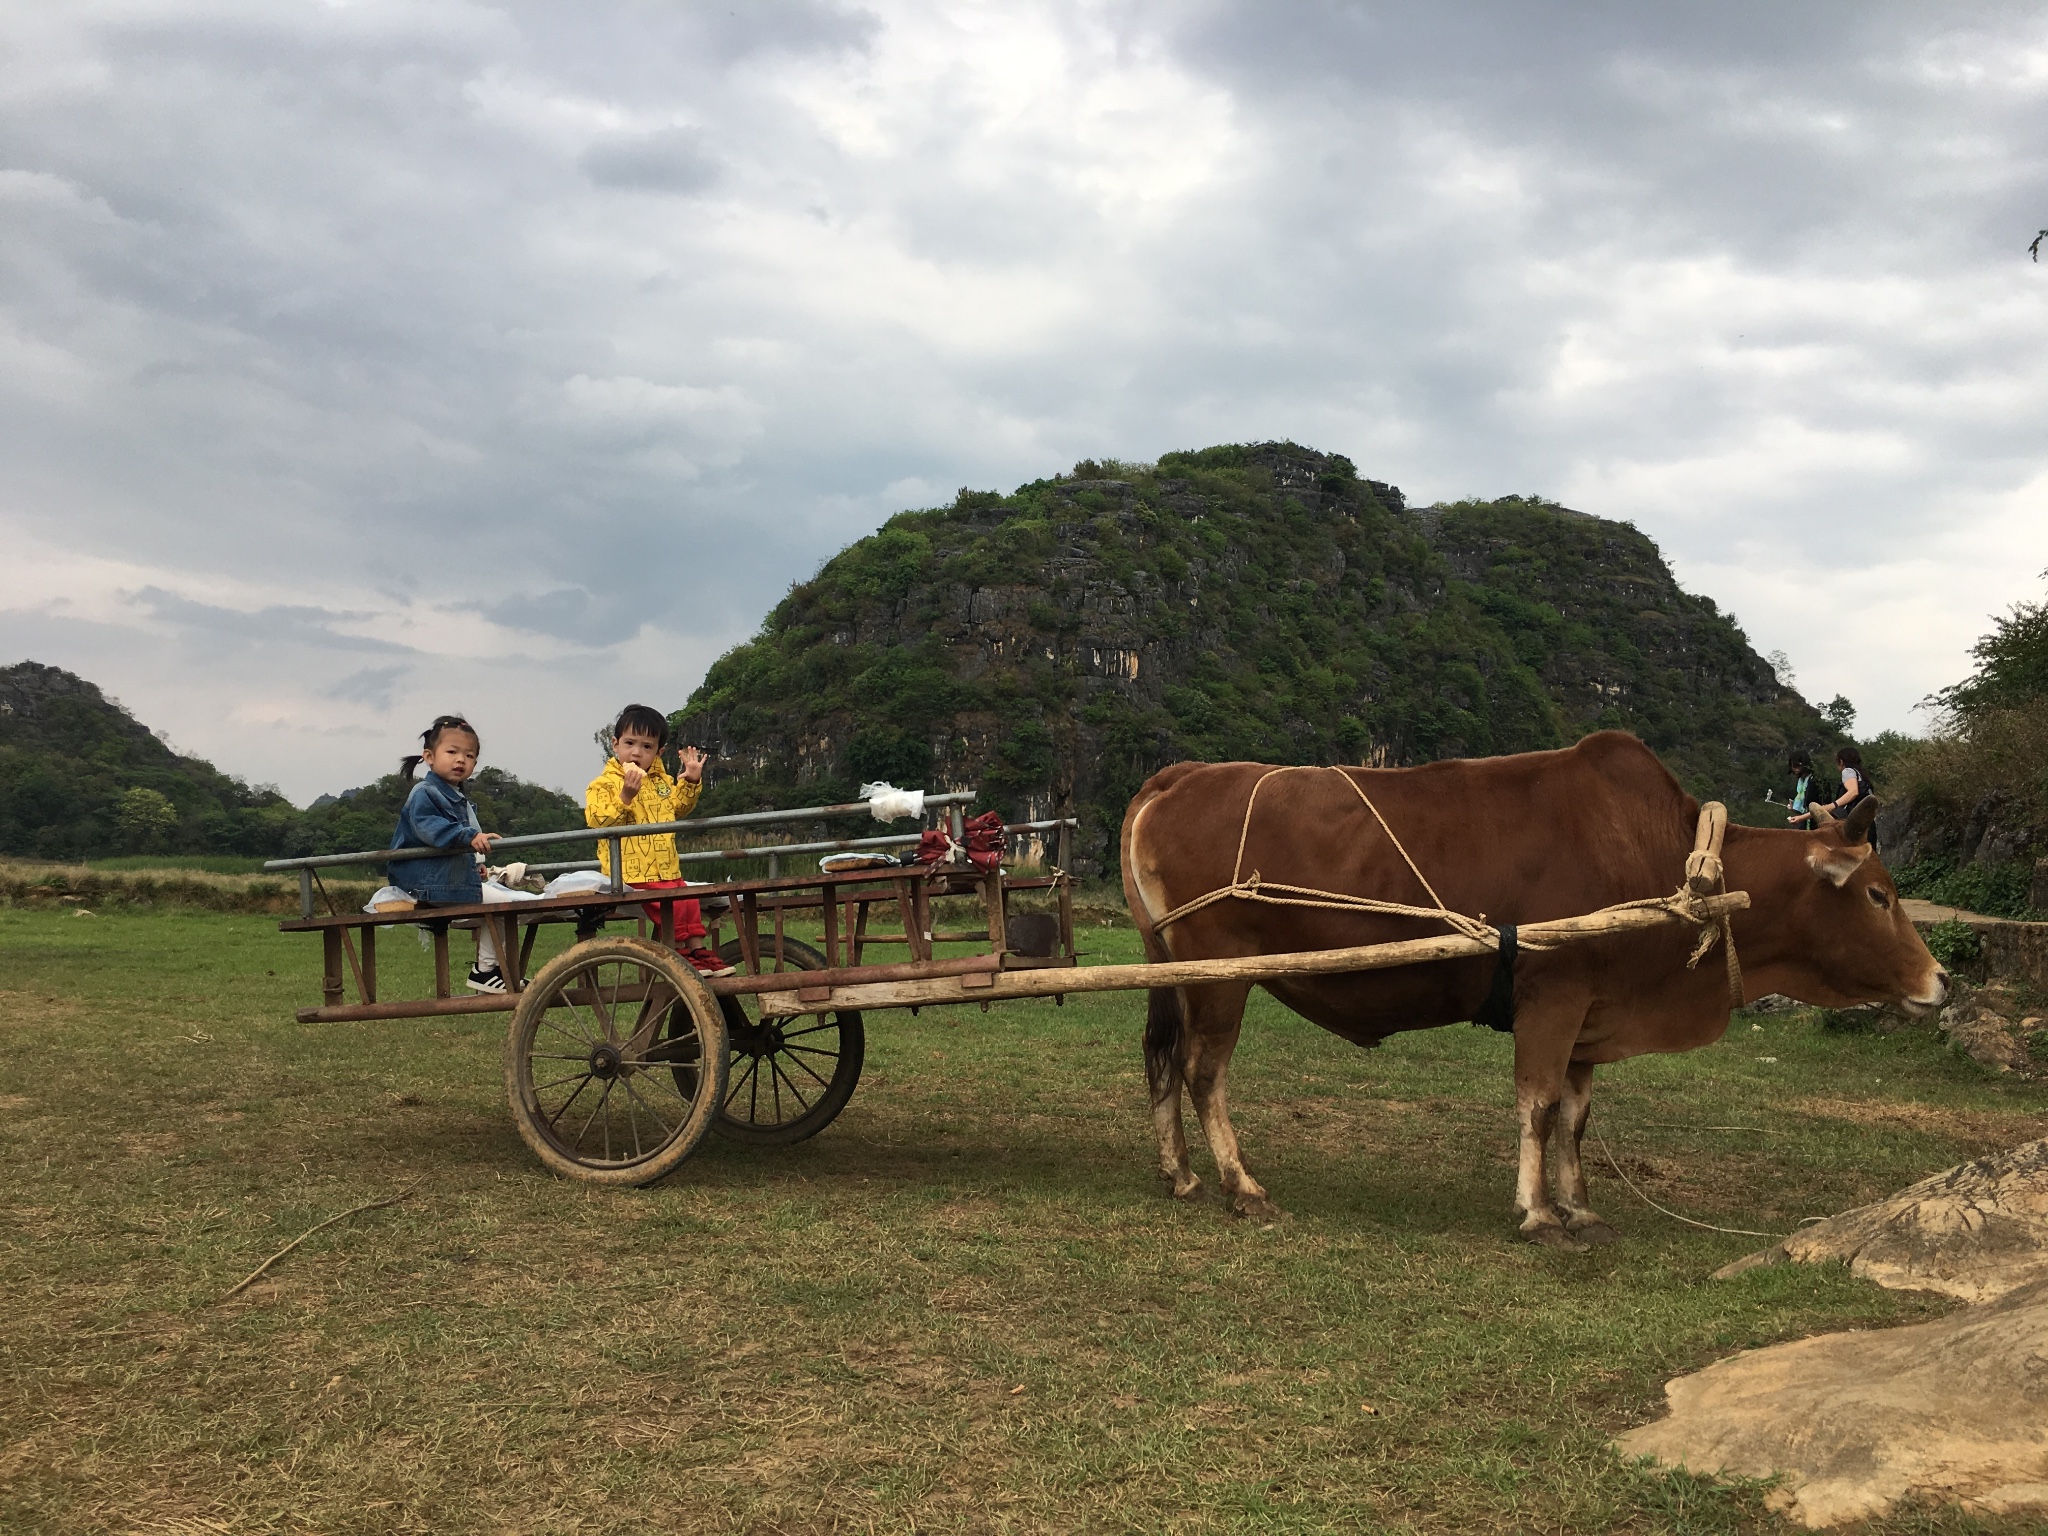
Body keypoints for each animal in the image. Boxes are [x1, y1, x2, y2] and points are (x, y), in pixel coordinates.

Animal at [1130, 733, 1941, 1253]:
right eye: (1878, 894)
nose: (1940, 981)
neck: (1665, 860)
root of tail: (1177, 777)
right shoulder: (1553, 997)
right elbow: (1540, 1107)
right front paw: (1539, 1215)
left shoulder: (1590, 1016)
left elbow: (1576, 1119)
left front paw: (1580, 1209)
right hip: (1222, 974)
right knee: (1204, 1072)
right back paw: (1241, 1185)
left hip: (1171, 972)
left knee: (1161, 1058)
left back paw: (1180, 1174)